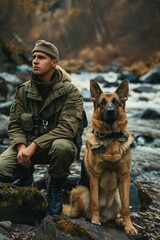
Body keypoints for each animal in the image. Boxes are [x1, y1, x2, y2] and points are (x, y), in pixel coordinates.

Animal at [70, 79, 138, 234]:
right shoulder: (95, 176)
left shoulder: (124, 176)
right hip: (81, 190)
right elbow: (95, 202)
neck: (110, 138)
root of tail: (105, 213)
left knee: (115, 214)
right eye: (102, 103)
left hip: (117, 195)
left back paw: (118, 220)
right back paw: (86, 218)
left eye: (116, 102)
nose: (110, 111)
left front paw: (129, 226)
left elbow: (126, 207)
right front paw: (95, 222)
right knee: (78, 213)